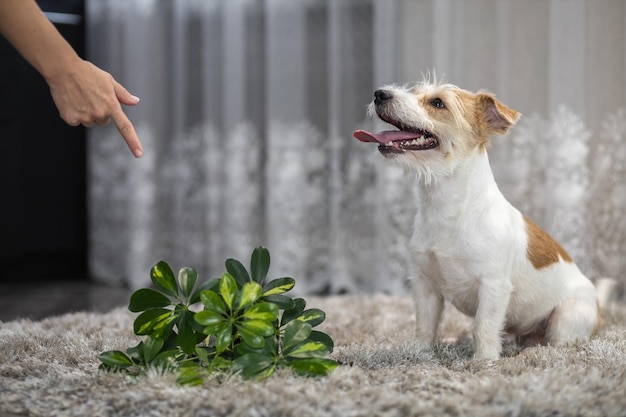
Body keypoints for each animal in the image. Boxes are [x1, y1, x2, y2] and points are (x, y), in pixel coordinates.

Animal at [354, 79, 596, 360]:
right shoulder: (425, 284)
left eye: (438, 103)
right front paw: (419, 353)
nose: (379, 94)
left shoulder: (493, 286)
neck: (448, 208)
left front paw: (484, 361)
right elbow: (425, 324)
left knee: (558, 344)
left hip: (567, 317)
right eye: (414, 92)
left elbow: (483, 326)